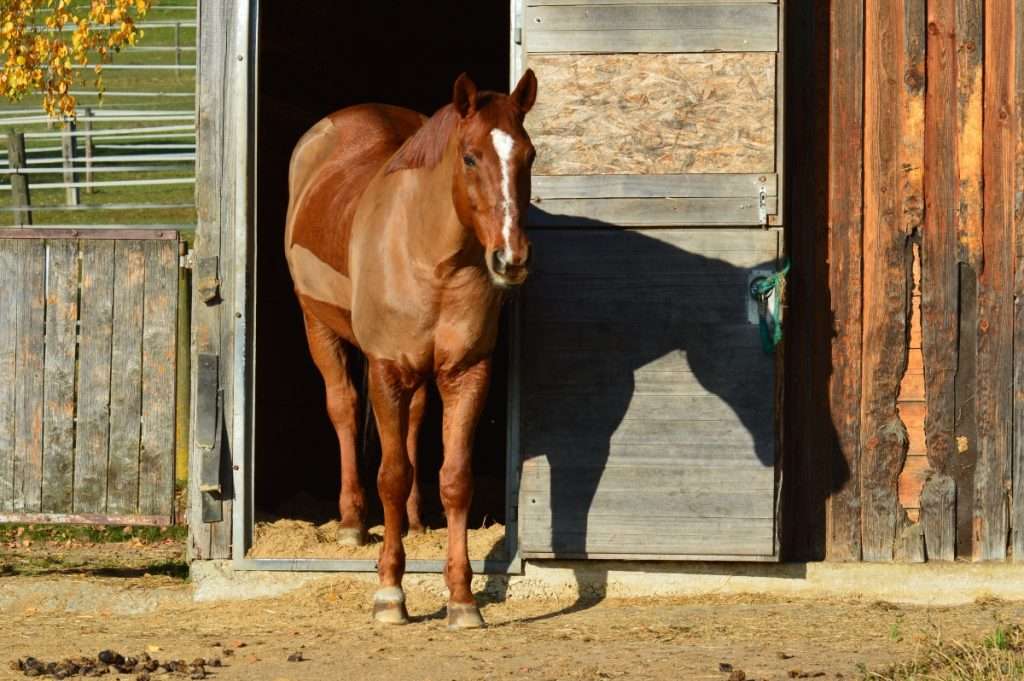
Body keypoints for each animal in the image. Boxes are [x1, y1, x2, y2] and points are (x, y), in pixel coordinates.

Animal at [280, 70, 536, 626]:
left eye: (529, 155)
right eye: (469, 157)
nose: (510, 258)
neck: (430, 258)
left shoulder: (467, 372)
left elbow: (455, 478)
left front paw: (461, 599)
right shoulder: (386, 371)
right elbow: (391, 476)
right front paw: (390, 593)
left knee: (416, 423)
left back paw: (417, 521)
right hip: (319, 327)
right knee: (344, 408)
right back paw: (352, 522)